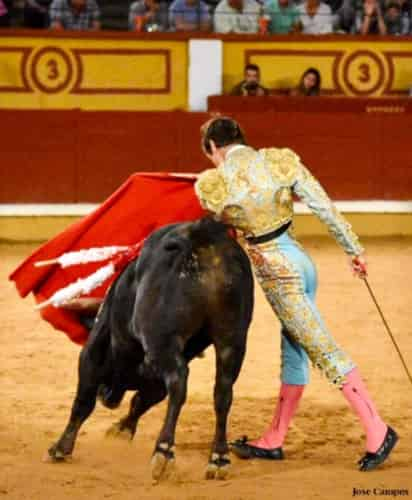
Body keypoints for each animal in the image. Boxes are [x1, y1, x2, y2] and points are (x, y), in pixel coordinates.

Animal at [47, 218, 254, 480]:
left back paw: (163, 452)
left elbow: (84, 400)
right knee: (223, 392)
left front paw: (61, 448)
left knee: (178, 382)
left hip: (163, 340)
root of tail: (203, 238)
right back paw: (219, 458)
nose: (107, 396)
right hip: (231, 340)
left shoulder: (95, 350)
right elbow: (142, 399)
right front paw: (122, 429)